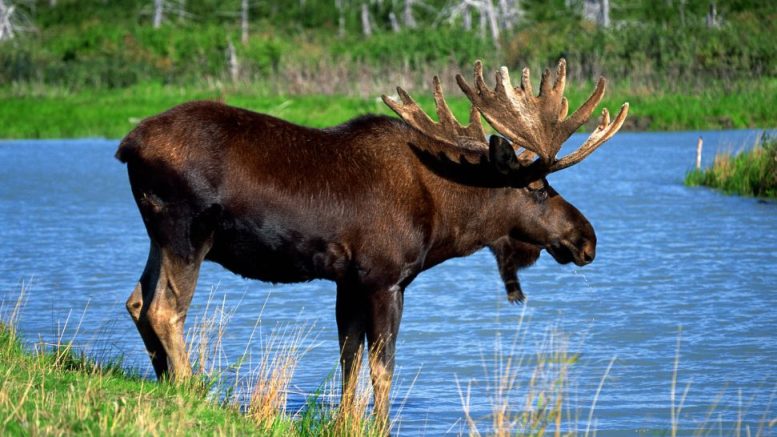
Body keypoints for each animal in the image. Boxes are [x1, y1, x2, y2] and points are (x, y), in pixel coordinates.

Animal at [115, 58, 624, 426]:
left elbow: (349, 360)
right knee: (164, 309)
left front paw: (346, 421)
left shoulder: (348, 281)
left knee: (137, 300)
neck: (445, 218)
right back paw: (189, 392)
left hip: (158, 236)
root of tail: (127, 145)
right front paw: (380, 424)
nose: (587, 239)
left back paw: (166, 384)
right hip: (187, 232)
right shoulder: (385, 279)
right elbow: (382, 366)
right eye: (538, 188)